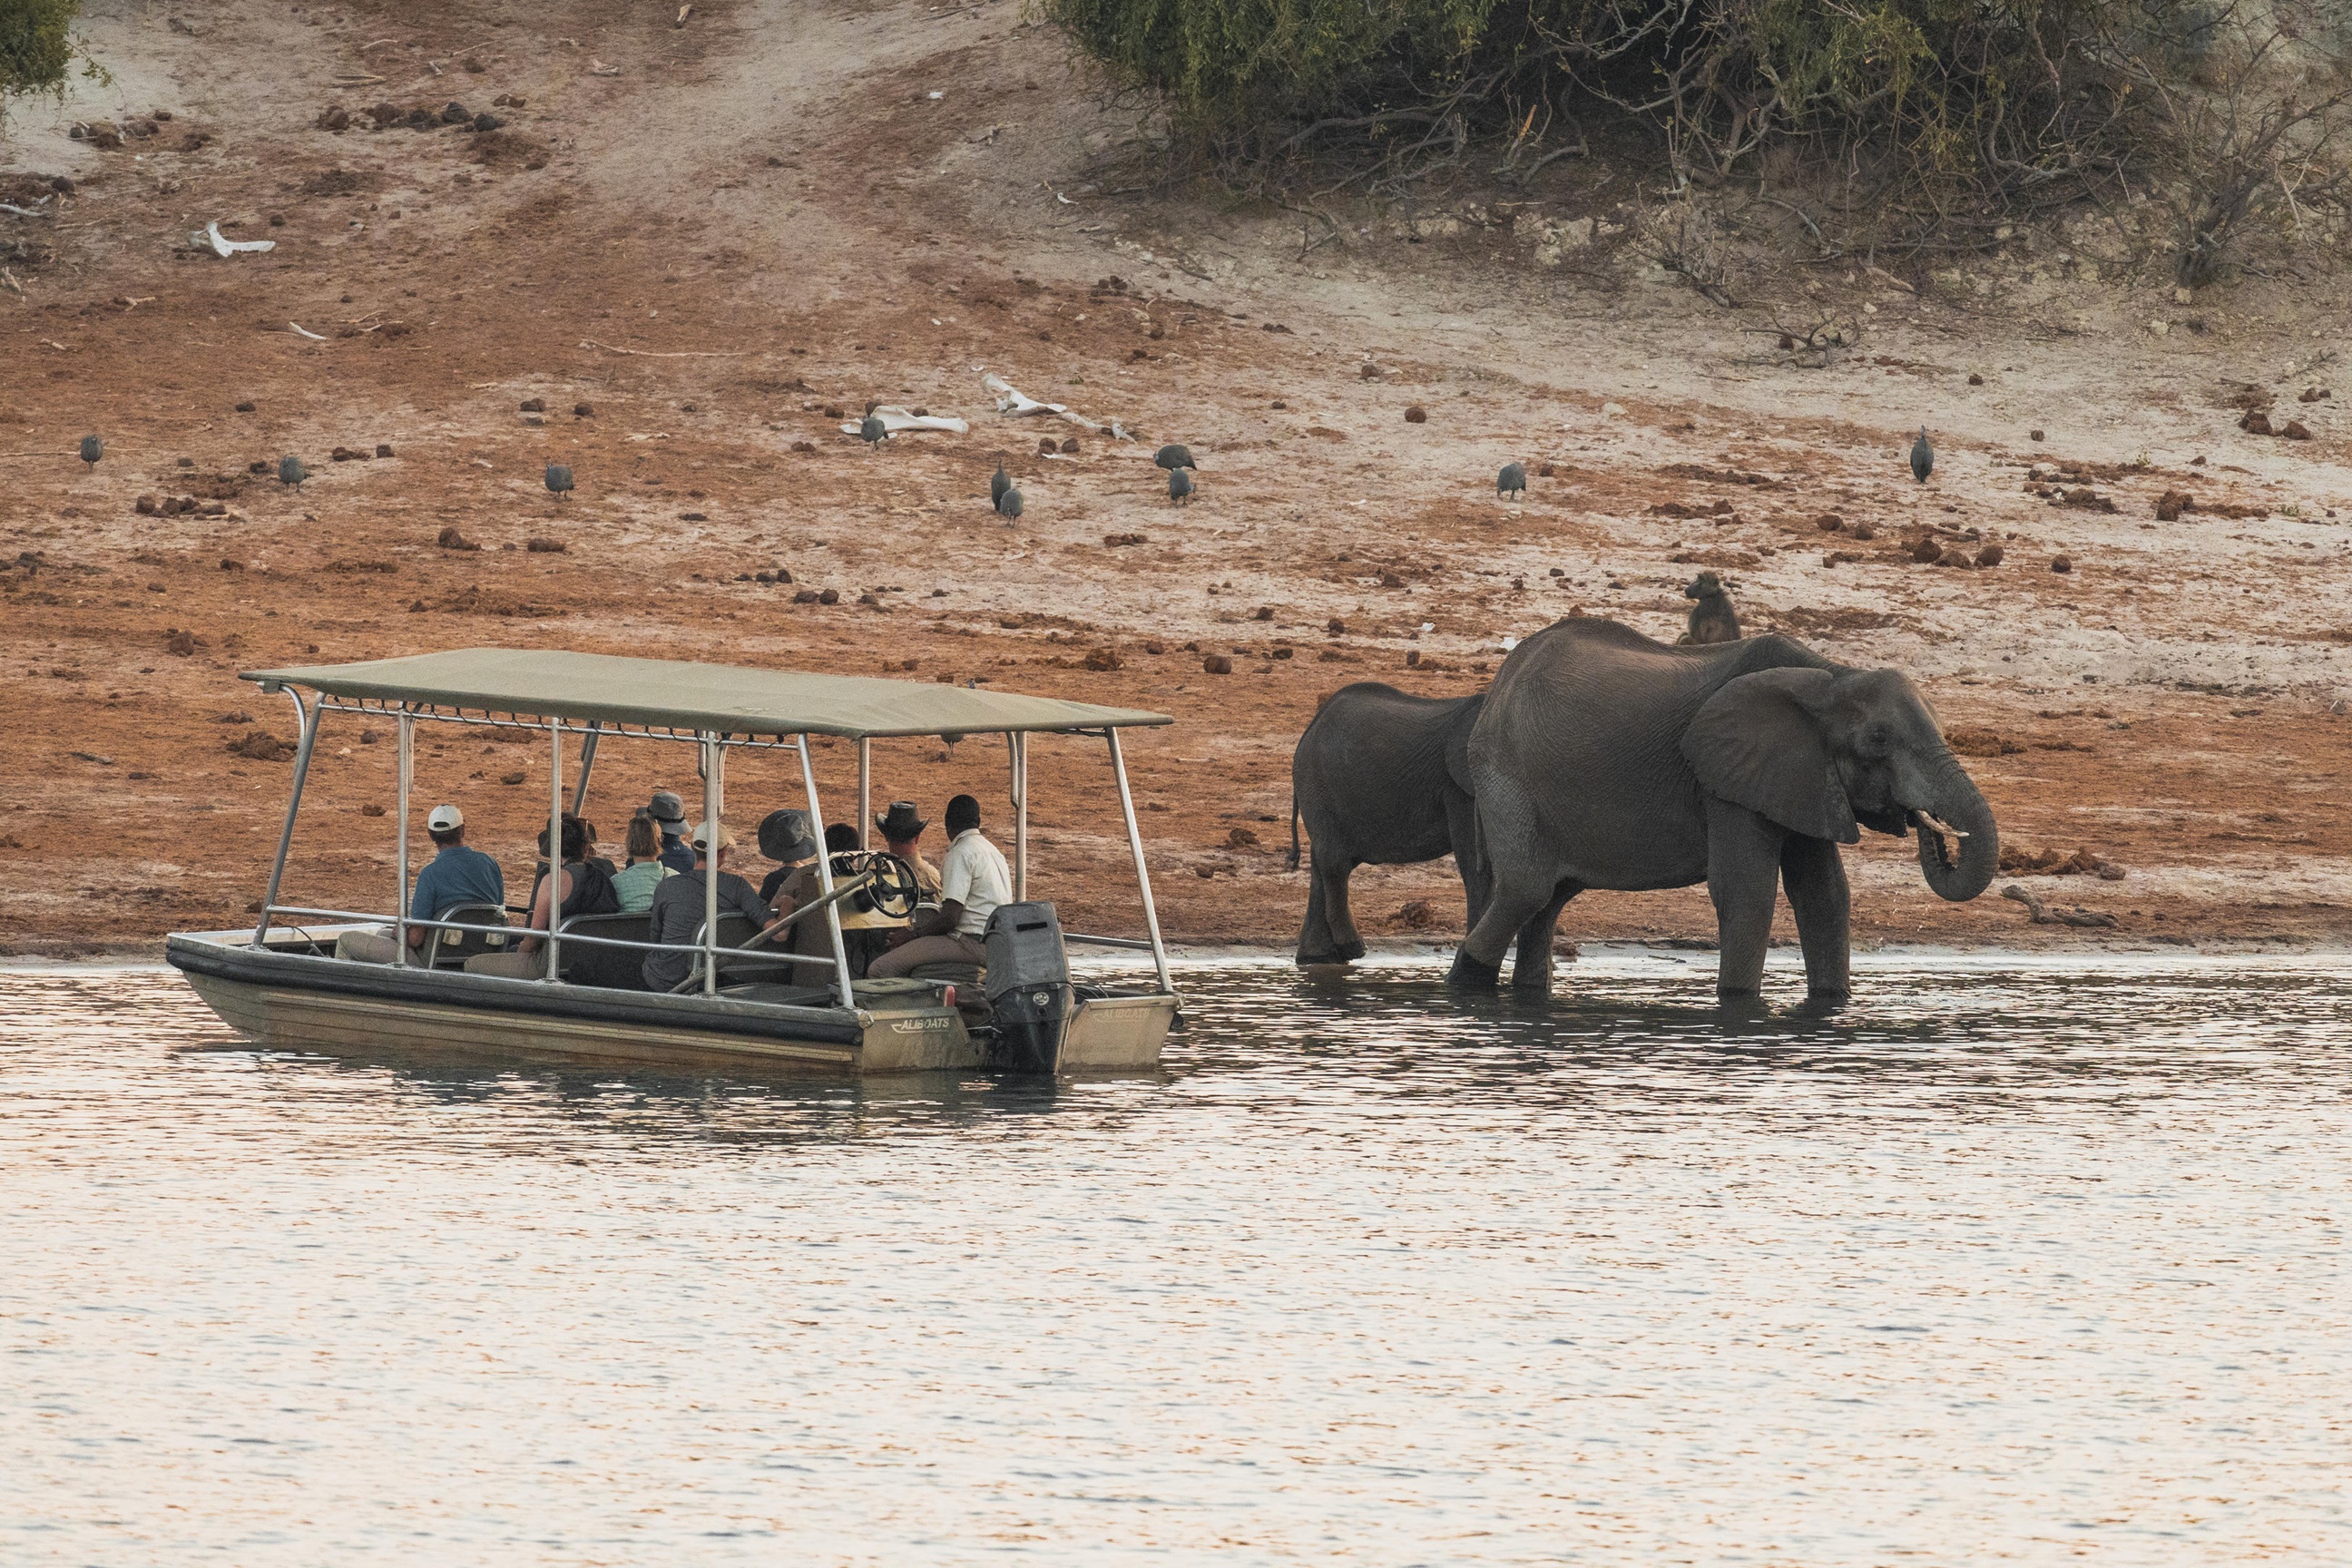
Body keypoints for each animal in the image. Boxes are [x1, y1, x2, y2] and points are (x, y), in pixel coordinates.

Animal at [1290, 683, 1568, 979]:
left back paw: (1318, 958)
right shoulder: (1461, 787)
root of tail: (1311, 728)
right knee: (1334, 864)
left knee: (1320, 868)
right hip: (1319, 785)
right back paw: (1353, 949)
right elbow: (1479, 868)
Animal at [1451, 617, 1999, 999]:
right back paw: (1464, 989)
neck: (1829, 676)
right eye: (1879, 740)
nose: (1931, 829)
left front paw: (1832, 1002)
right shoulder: (1727, 778)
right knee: (1526, 889)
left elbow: (1825, 895)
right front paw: (1738, 1004)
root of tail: (1503, 678)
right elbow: (1748, 891)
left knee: (1549, 899)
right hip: (1504, 770)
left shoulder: (1800, 778)